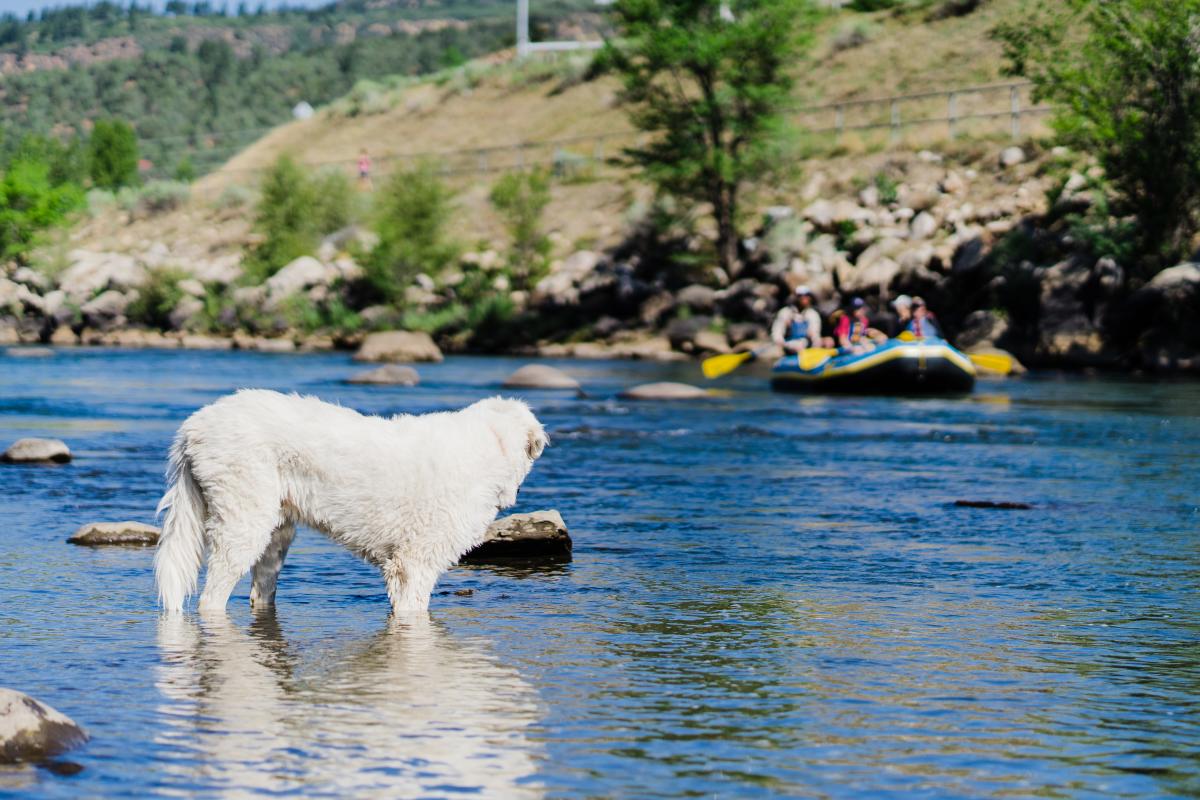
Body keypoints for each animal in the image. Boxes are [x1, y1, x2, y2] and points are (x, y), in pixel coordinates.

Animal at [152, 391, 547, 618]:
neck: (487, 446)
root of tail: (195, 424)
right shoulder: (414, 563)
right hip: (243, 521)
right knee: (210, 598)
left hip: (275, 535)